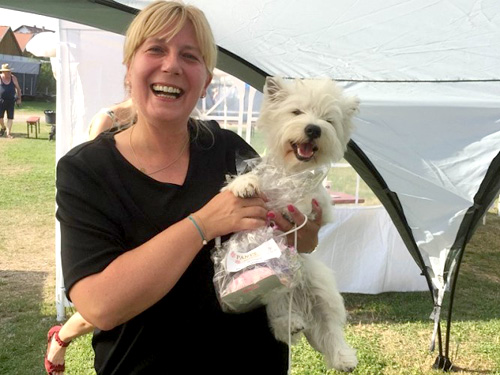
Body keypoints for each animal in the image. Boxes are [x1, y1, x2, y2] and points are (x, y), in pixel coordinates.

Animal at [223, 76, 360, 374]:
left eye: (328, 120)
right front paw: (245, 184)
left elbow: (312, 200)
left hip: (324, 289)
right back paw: (293, 324)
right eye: (296, 112)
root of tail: (301, 302)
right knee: (281, 319)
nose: (313, 129)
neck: (291, 172)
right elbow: (247, 182)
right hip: (272, 289)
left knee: (331, 328)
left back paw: (344, 358)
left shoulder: (321, 204)